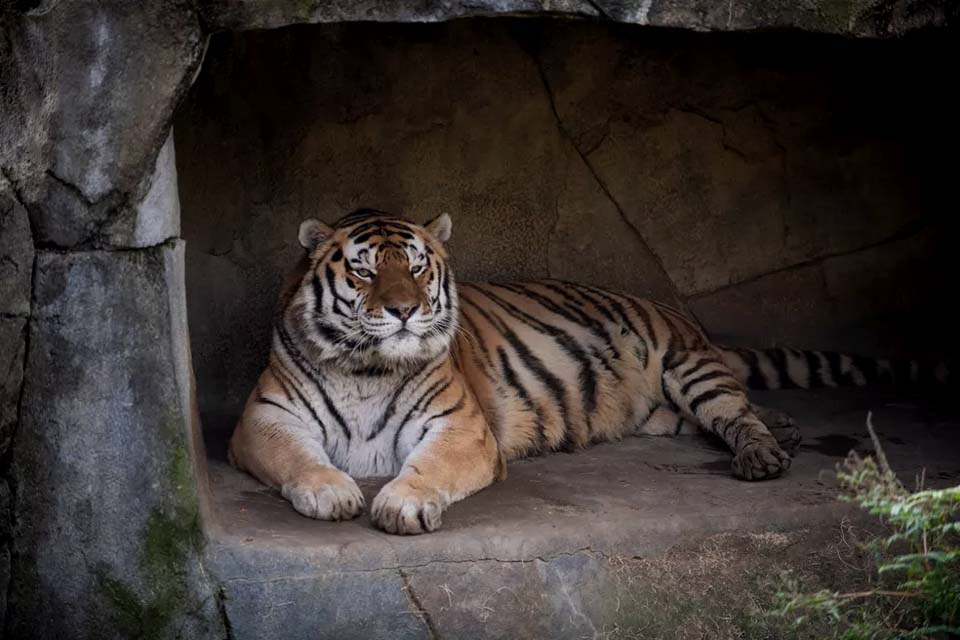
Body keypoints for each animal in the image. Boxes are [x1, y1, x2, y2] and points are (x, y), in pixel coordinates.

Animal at [227, 208, 949, 535]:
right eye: (363, 271)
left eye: (419, 266)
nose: (404, 310)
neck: (367, 367)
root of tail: (675, 313)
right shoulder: (264, 419)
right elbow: (299, 459)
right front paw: (332, 491)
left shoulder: (460, 427)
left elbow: (426, 468)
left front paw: (401, 503)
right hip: (665, 414)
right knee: (728, 413)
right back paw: (786, 433)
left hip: (689, 368)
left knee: (735, 412)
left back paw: (764, 455)